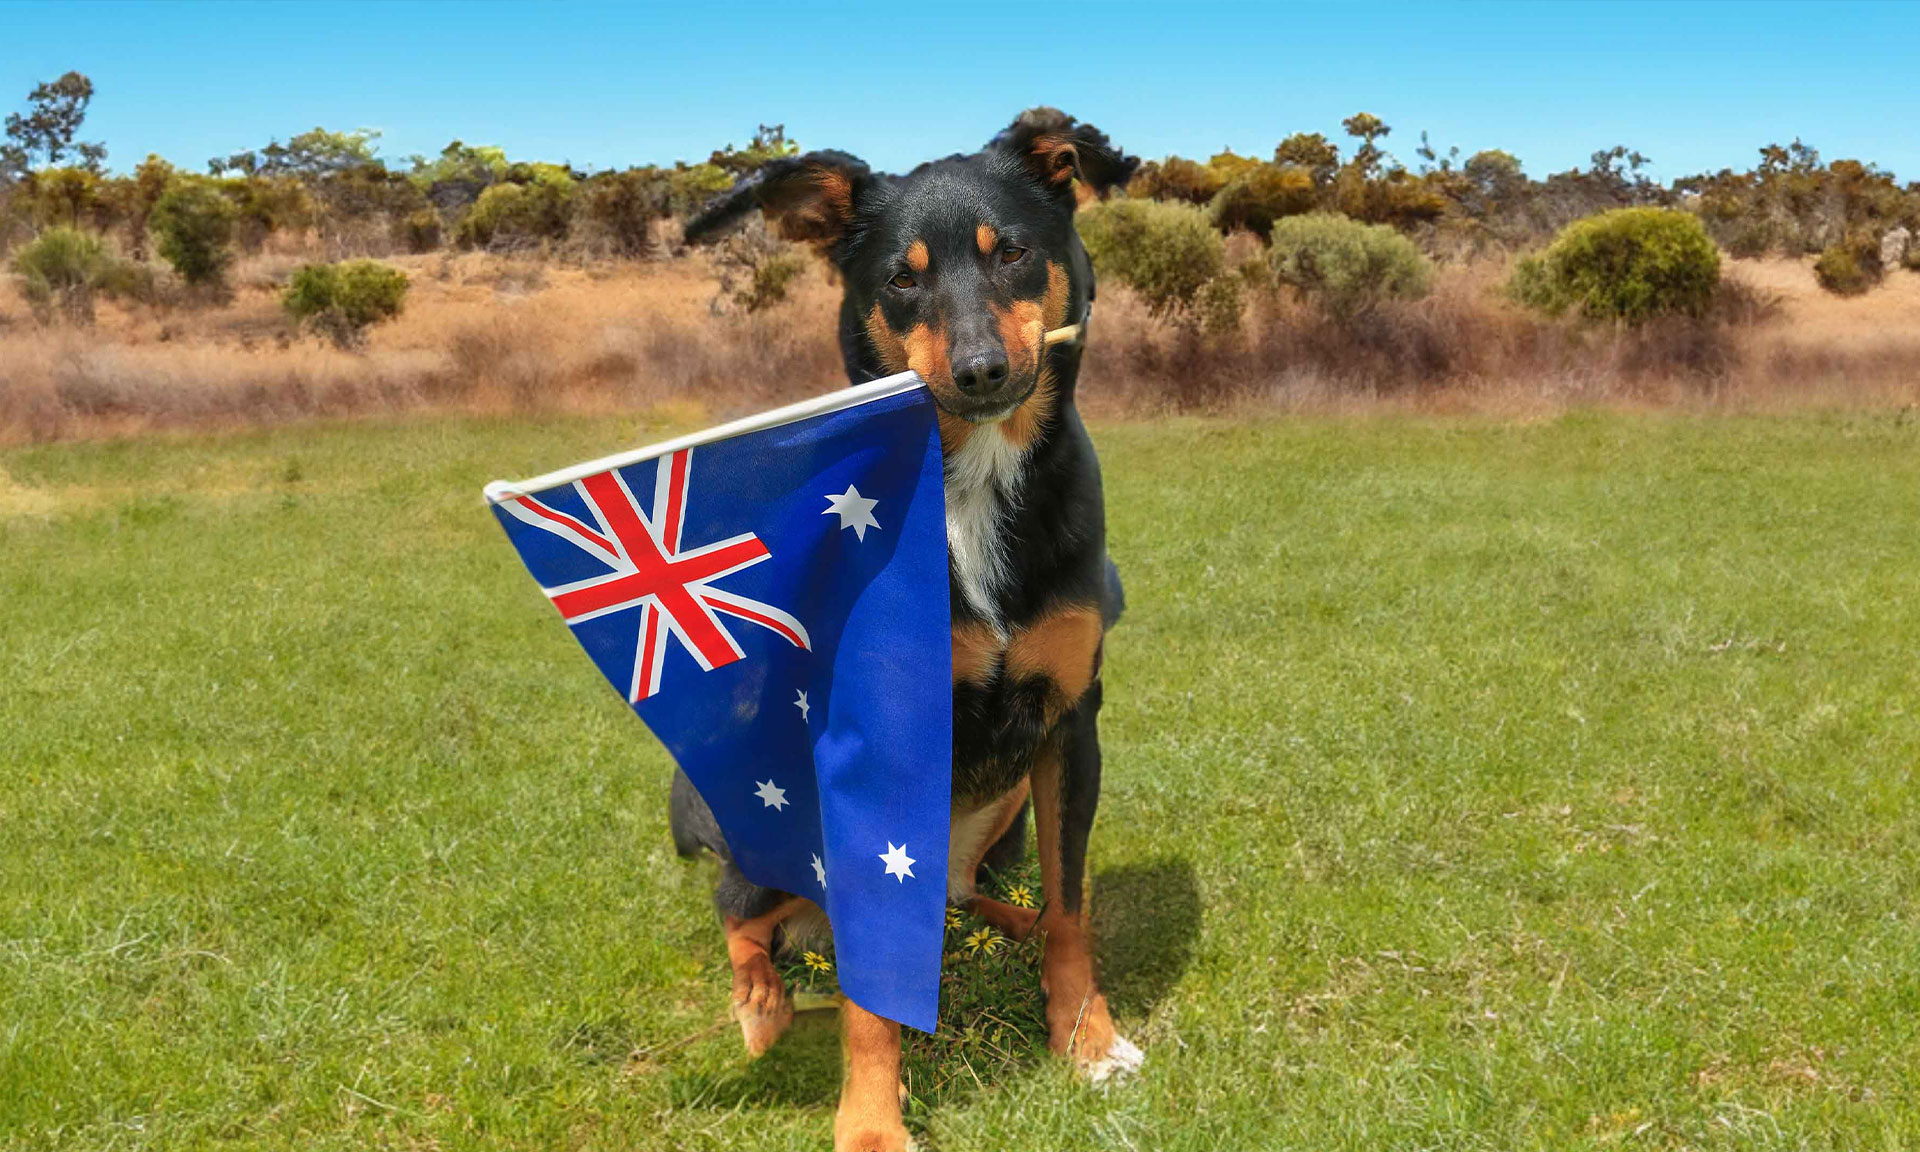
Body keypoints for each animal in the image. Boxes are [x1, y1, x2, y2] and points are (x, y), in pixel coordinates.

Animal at [679, 108, 1136, 1152]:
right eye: (901, 277)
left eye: (1012, 252)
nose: (981, 370)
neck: (972, 483)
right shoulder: (871, 749)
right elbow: (867, 1002)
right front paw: (871, 1126)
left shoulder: (1070, 724)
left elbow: (1072, 907)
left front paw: (1086, 1039)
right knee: (739, 912)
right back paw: (759, 1001)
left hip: (1003, 810)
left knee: (976, 897)